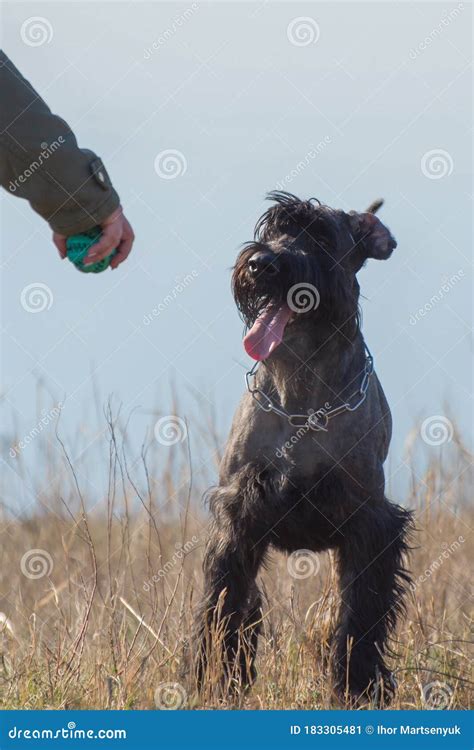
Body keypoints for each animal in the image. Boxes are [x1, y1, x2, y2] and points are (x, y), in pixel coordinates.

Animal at [195, 192, 412, 704]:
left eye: (321, 236)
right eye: (272, 228)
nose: (261, 263)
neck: (302, 392)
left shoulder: (369, 525)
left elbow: (360, 618)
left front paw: (357, 688)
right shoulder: (238, 519)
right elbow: (224, 607)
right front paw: (217, 683)